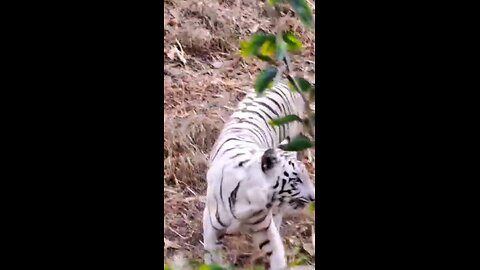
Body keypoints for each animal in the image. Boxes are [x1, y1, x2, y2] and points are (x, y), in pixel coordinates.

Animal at [202, 82, 316, 270]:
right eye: (296, 180)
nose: (314, 197)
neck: (251, 202)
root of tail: (283, 81)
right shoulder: (211, 226)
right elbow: (213, 256)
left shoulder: (263, 227)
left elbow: (276, 252)